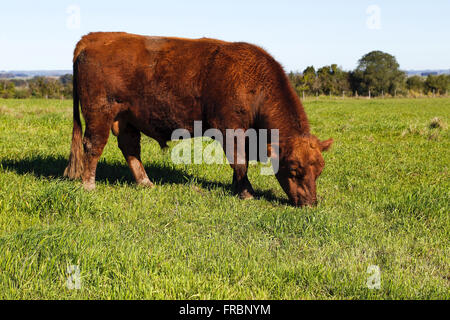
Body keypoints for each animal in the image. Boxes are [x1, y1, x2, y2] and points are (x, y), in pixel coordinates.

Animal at [63, 32, 332, 206]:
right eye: (294, 170)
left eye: (319, 170)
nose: (310, 202)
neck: (253, 83)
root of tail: (93, 38)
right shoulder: (229, 129)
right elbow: (239, 161)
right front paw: (246, 192)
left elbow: (241, 162)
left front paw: (238, 187)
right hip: (100, 113)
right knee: (93, 146)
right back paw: (89, 185)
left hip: (126, 118)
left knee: (130, 149)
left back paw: (145, 182)